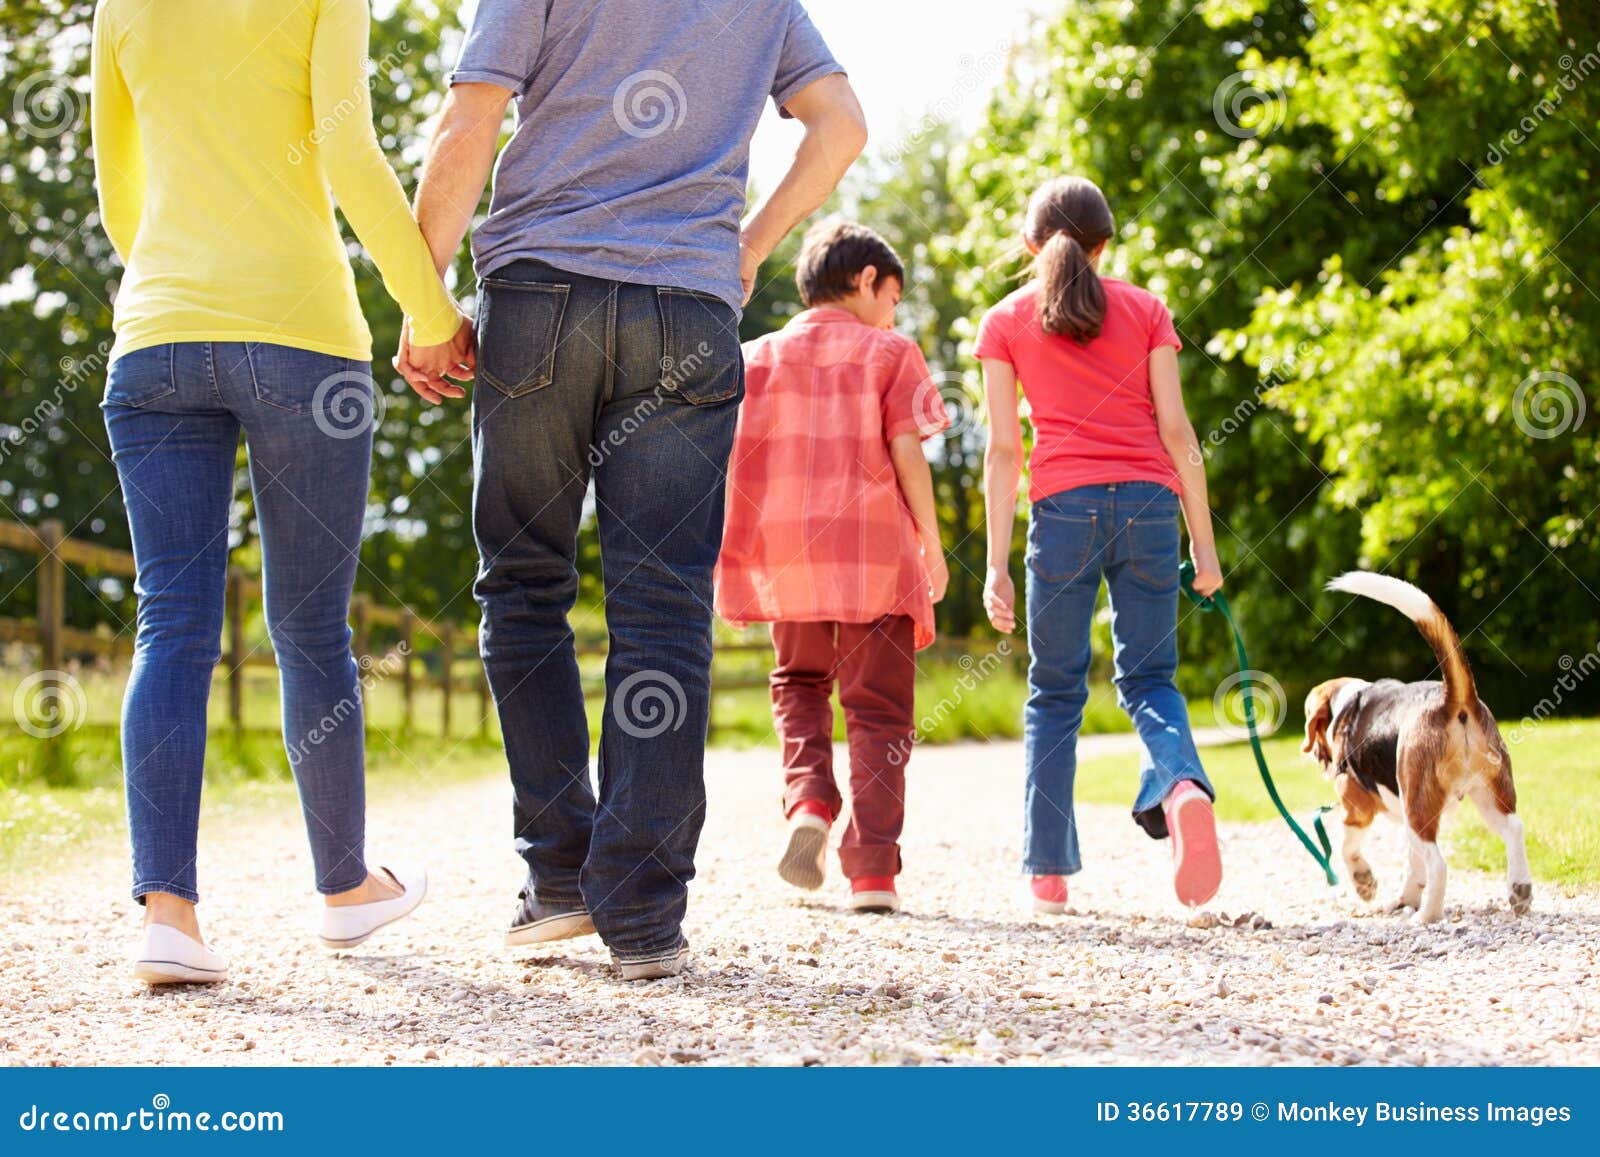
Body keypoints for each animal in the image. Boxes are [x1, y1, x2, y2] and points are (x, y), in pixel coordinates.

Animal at [1299, 576, 1523, 928]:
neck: (1348, 702)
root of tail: (1454, 701)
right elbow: (1413, 864)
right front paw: (1405, 898)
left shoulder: (1356, 810)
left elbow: (1347, 848)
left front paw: (1365, 884)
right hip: (1488, 795)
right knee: (1514, 829)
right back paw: (1520, 891)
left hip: (1418, 809)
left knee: (1439, 864)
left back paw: (1427, 915)